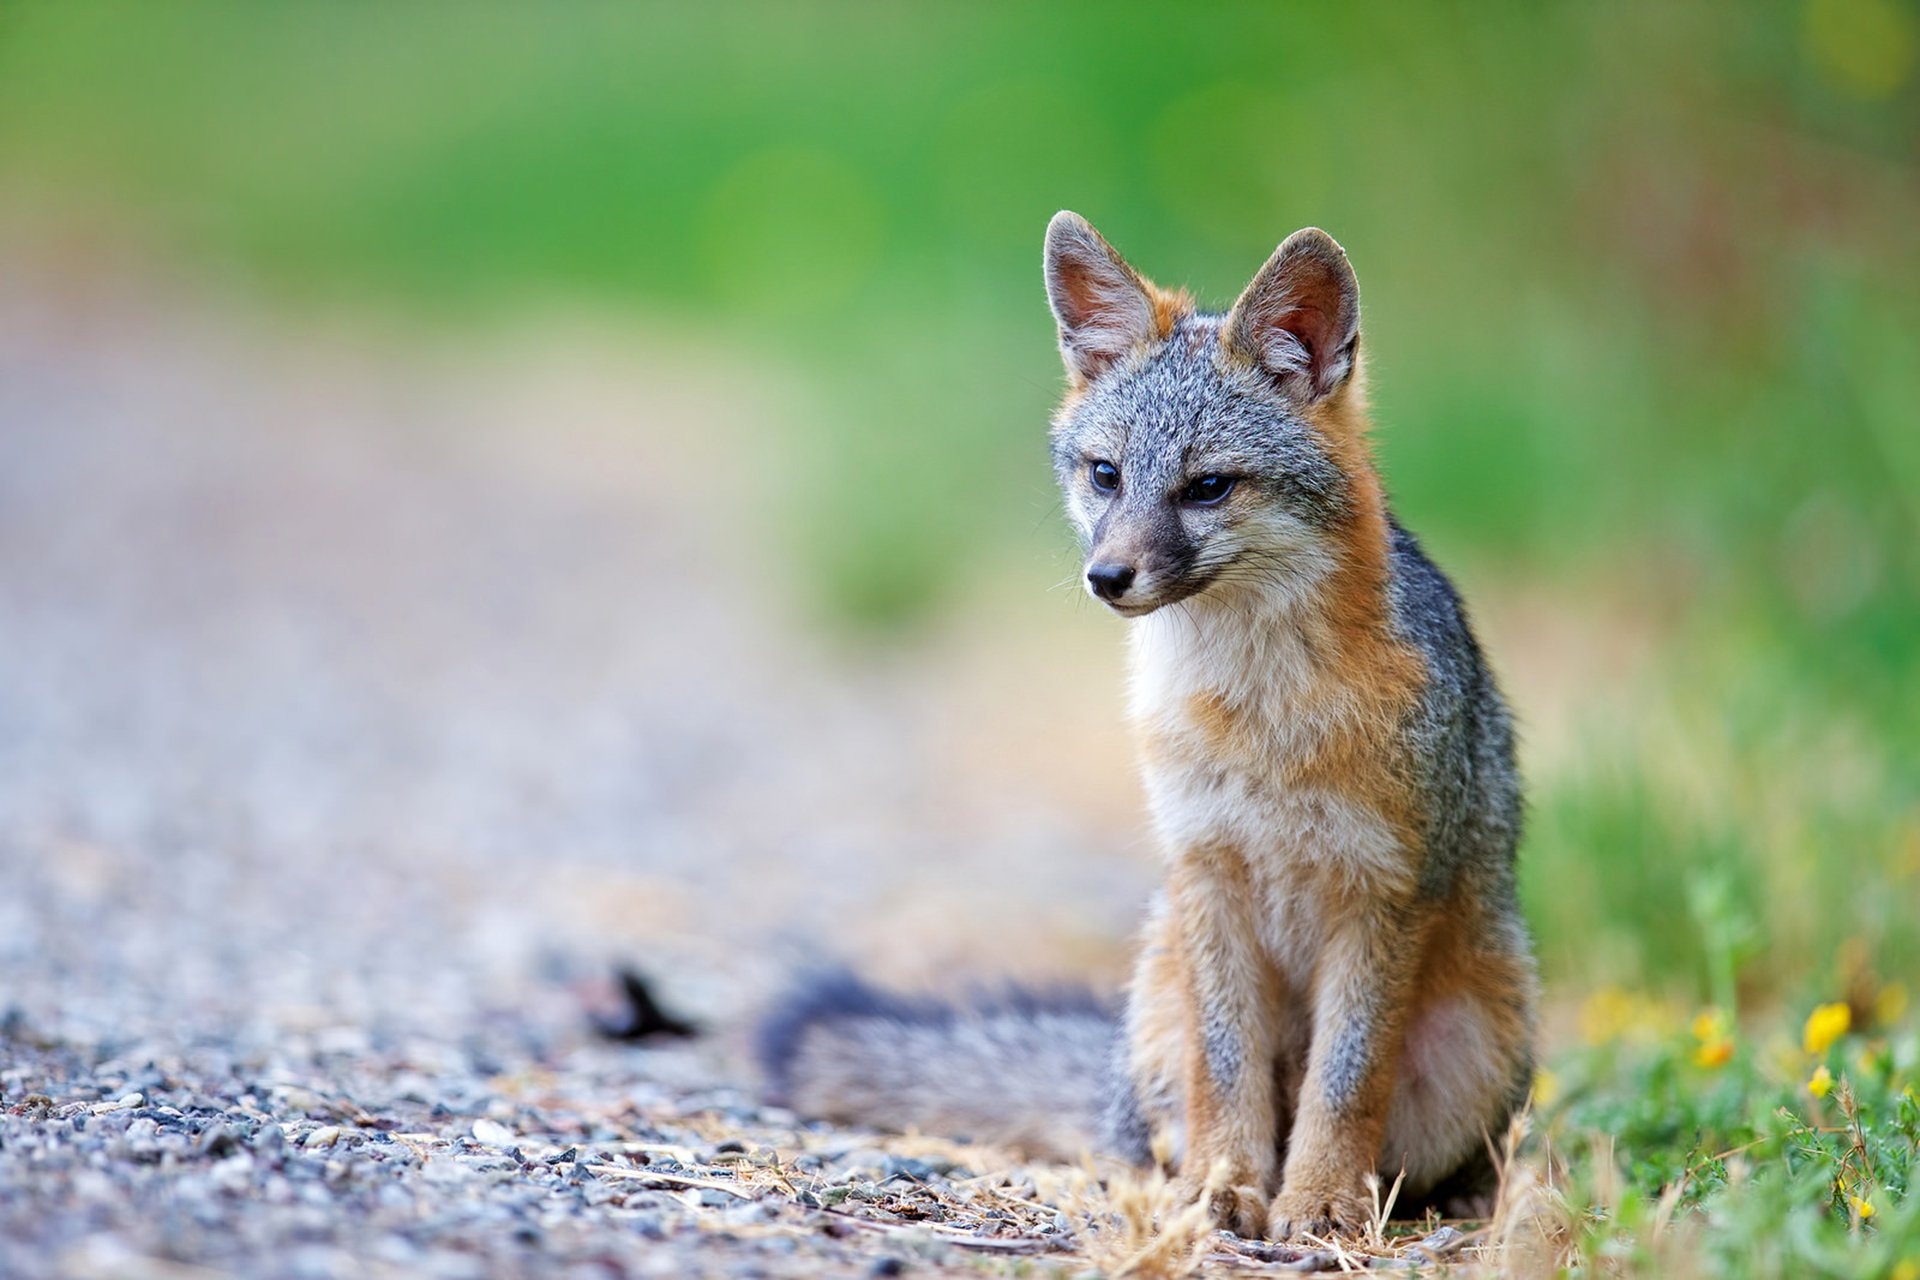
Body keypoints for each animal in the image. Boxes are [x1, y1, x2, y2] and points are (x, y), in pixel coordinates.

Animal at [756, 210, 1536, 1243]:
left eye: (1207, 487)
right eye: (1106, 476)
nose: (1107, 577)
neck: (1257, 716)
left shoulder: (1385, 893)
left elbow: (1344, 1084)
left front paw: (1320, 1202)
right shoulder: (1208, 872)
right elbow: (1228, 1072)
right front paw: (1222, 1188)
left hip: (1476, 1043)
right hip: (1164, 995)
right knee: (1152, 1127)